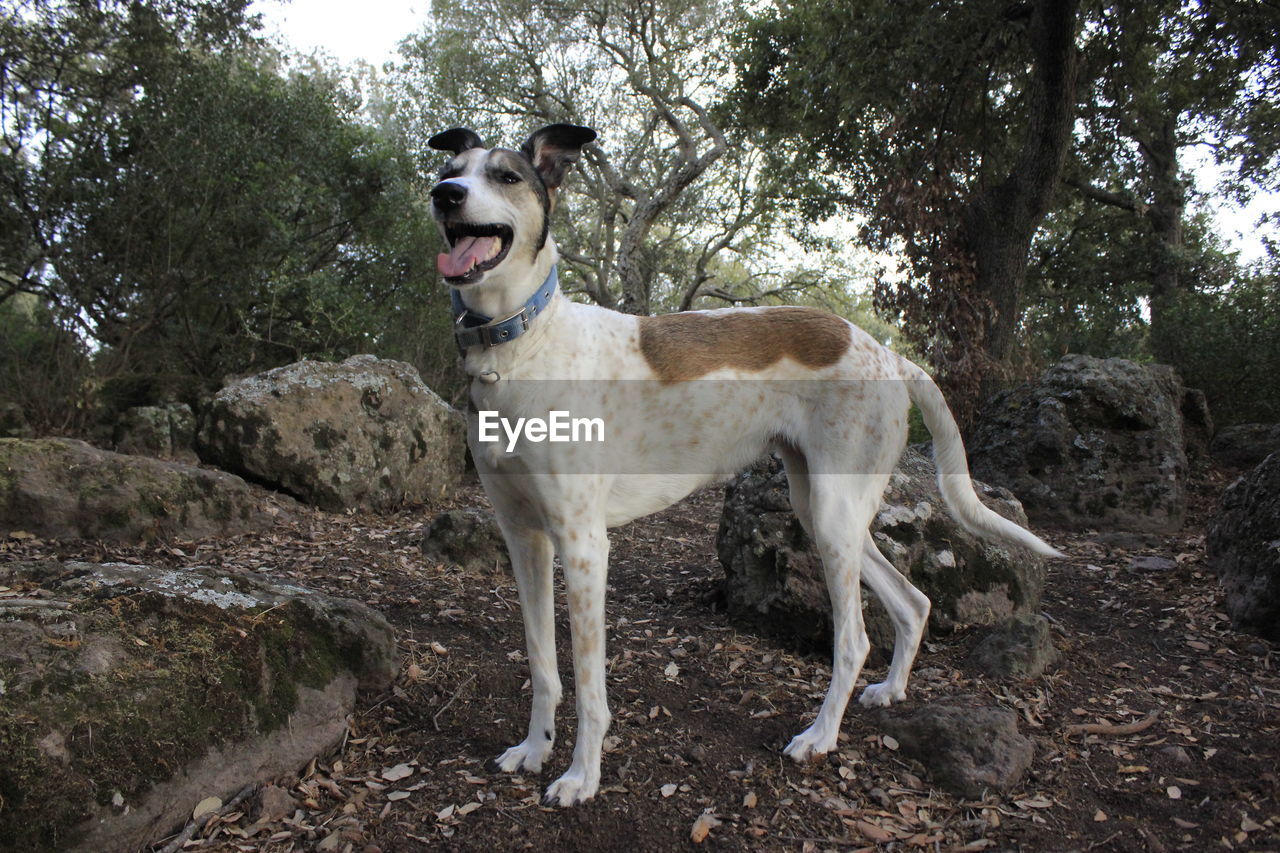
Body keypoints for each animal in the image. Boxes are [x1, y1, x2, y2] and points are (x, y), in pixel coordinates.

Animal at [430, 121, 1059, 804]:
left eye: (506, 176)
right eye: (452, 169)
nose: (444, 195)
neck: (521, 344)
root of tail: (888, 354)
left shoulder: (583, 544)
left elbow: (590, 685)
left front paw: (581, 776)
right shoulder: (524, 538)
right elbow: (543, 664)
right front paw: (533, 749)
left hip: (832, 518)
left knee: (854, 639)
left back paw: (819, 737)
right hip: (824, 512)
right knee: (914, 602)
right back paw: (890, 692)